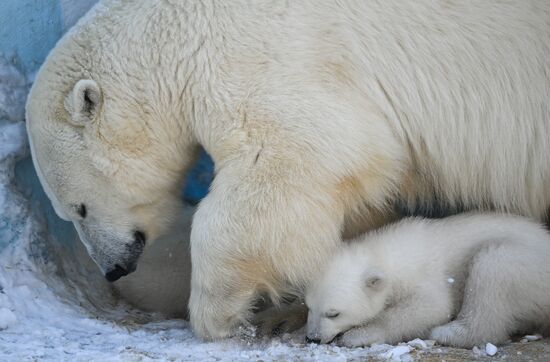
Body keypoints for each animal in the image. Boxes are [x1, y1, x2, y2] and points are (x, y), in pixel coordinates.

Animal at [24, 0, 550, 340]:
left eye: (79, 207)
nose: (113, 268)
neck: (171, 35)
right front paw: (285, 310)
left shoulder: (261, 57)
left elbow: (292, 159)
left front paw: (220, 313)